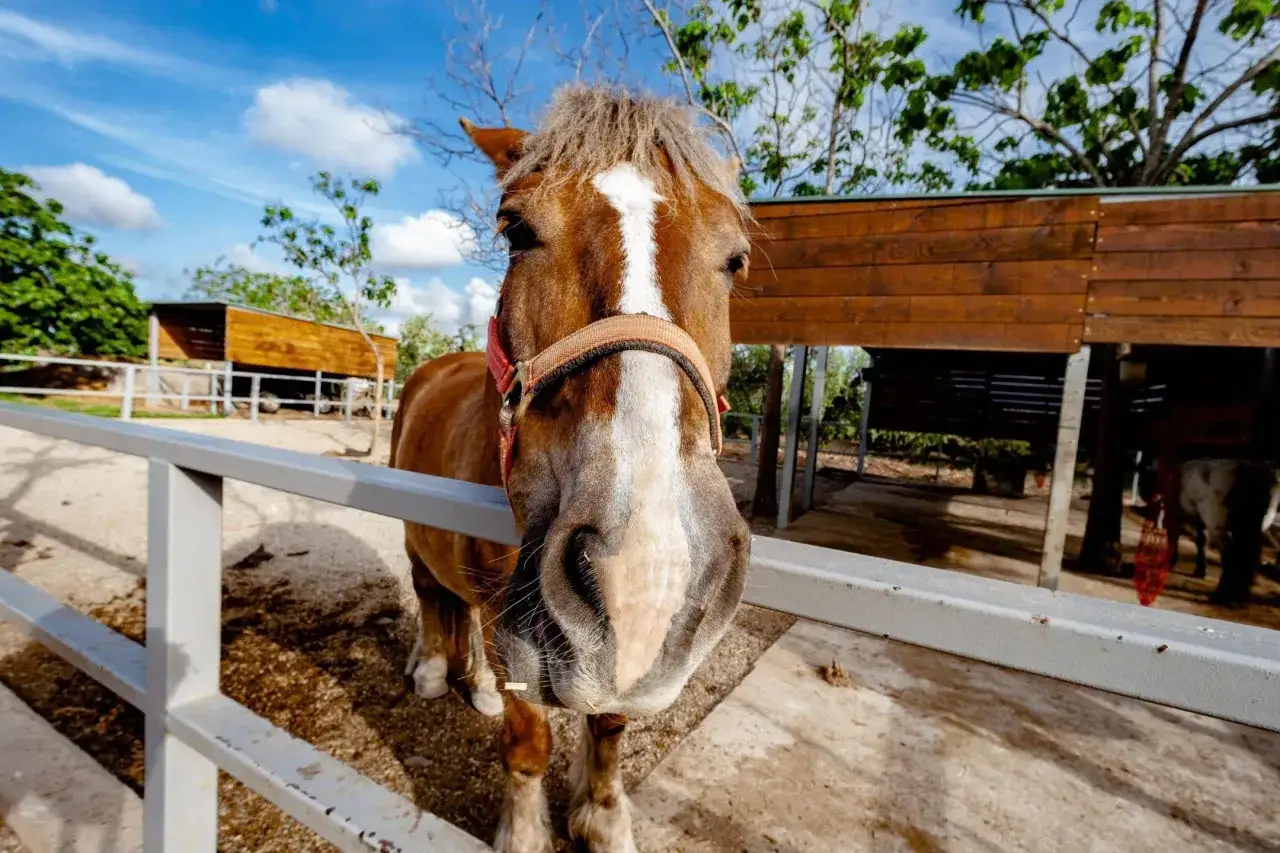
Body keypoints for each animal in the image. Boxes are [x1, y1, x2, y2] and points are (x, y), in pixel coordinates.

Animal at [389, 86, 752, 853]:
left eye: (735, 258)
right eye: (515, 229)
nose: (645, 566)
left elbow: (610, 722)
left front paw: (604, 820)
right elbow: (528, 741)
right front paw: (526, 832)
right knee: (430, 591)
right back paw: (433, 668)